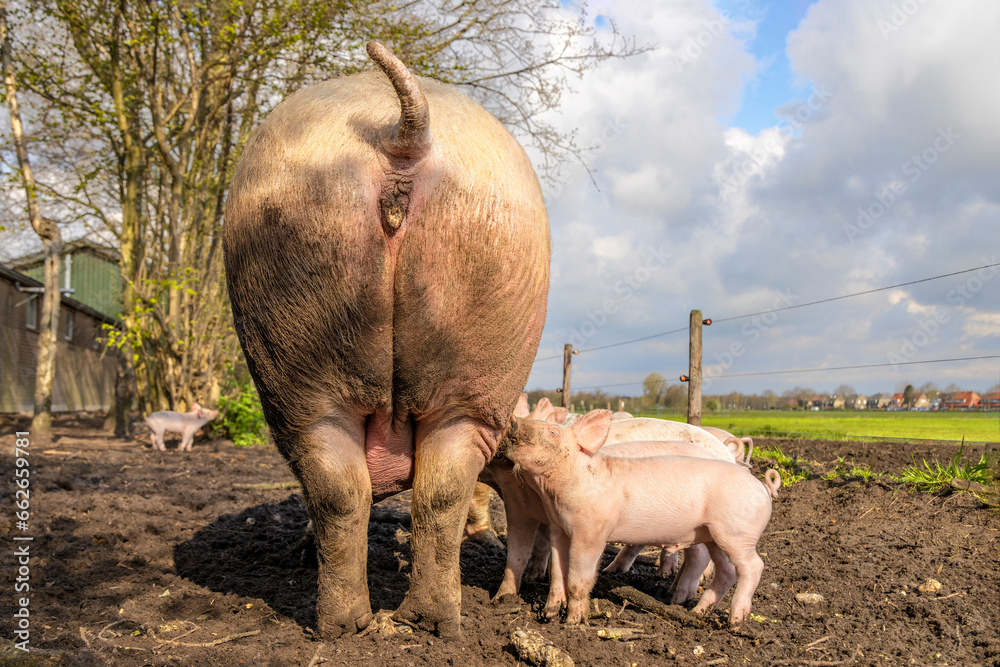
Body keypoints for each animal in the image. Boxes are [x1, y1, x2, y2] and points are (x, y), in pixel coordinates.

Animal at [223, 41, 549, 638]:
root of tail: (405, 132)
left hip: (294, 360)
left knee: (341, 487)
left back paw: (352, 624)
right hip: (476, 349)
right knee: (424, 490)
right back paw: (412, 623)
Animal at [502, 410, 777, 628]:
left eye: (553, 431)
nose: (514, 421)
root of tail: (762, 488)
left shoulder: (591, 532)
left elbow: (578, 578)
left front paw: (572, 622)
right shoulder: (559, 529)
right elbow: (557, 574)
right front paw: (547, 615)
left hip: (737, 534)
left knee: (753, 566)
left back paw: (735, 622)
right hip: (712, 536)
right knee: (726, 571)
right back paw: (696, 612)